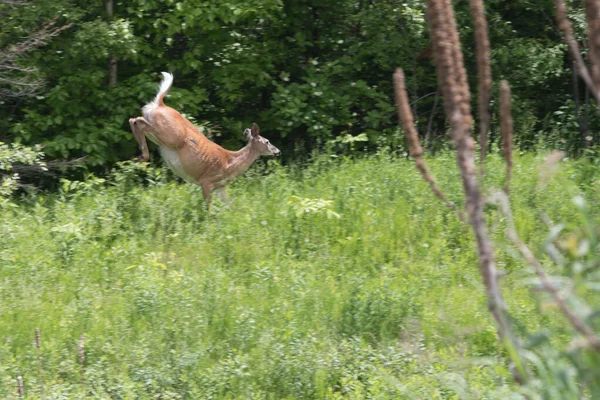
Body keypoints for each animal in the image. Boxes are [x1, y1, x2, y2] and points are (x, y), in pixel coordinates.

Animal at [127, 72, 280, 209]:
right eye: (267, 141)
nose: (278, 151)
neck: (229, 164)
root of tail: (160, 104)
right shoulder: (206, 181)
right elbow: (208, 209)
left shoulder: (221, 186)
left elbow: (231, 206)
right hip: (170, 135)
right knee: (136, 120)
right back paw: (142, 155)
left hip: (160, 136)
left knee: (135, 120)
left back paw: (139, 156)